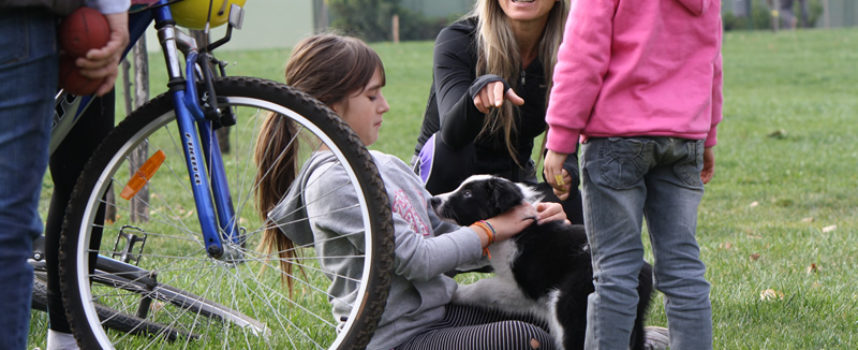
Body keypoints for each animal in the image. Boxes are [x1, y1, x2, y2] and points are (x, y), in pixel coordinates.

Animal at [432, 175, 652, 350]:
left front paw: (456, 292)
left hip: (570, 308)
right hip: (634, 322)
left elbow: (484, 287)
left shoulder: (521, 288)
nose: (433, 200)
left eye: (467, 193)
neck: (522, 230)